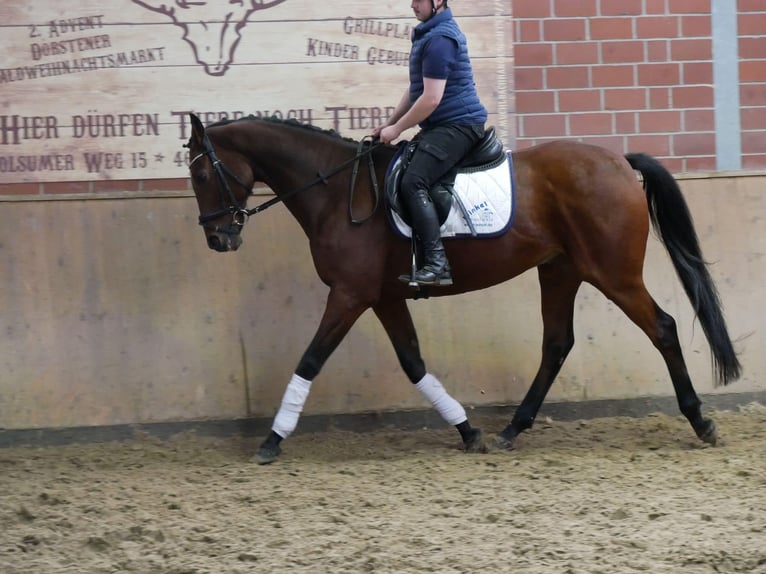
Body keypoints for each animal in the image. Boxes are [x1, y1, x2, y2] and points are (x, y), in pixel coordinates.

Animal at [186, 110, 744, 466]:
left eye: (201, 174)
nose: (218, 238)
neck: (335, 191)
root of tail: (620, 163)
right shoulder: (383, 297)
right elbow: (413, 363)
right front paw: (468, 431)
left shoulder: (349, 295)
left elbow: (310, 360)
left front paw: (271, 440)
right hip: (560, 271)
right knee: (556, 344)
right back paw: (512, 429)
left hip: (613, 274)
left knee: (663, 328)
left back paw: (700, 422)